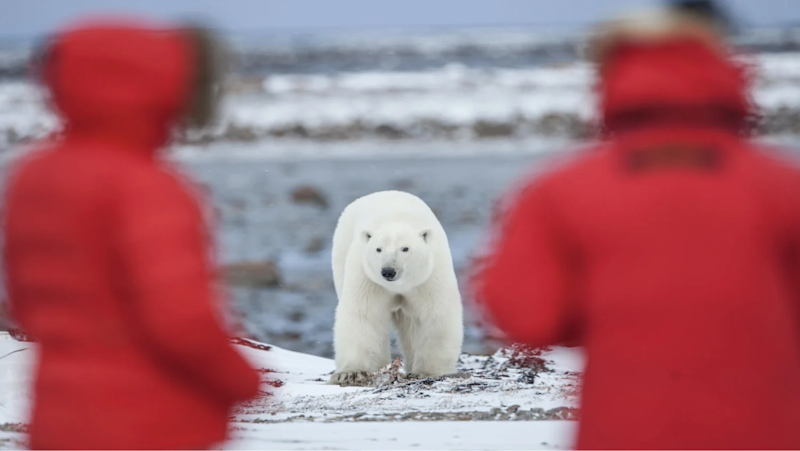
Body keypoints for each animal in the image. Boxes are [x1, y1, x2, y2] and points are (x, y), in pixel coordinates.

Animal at [329, 190, 464, 386]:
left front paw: (426, 372)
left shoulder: (428, 276)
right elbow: (364, 314)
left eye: (405, 248)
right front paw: (351, 373)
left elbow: (435, 314)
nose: (388, 271)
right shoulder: (368, 278)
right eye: (378, 249)